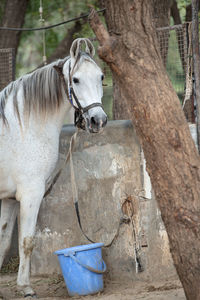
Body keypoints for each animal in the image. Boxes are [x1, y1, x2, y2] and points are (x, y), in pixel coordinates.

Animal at [0, 38, 108, 298]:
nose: (98, 121)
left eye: (100, 76)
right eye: (75, 80)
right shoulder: (31, 194)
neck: (22, 126)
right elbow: (27, 241)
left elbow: (3, 242)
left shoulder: (9, 198)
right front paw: (26, 287)